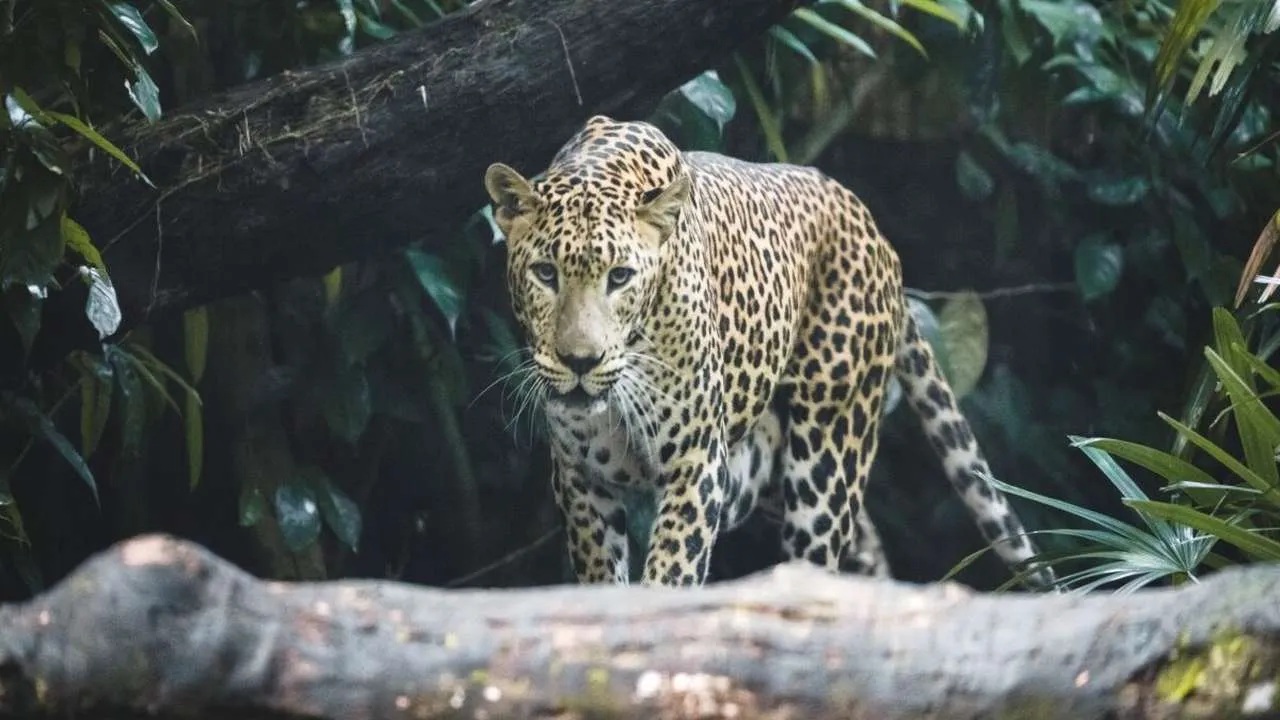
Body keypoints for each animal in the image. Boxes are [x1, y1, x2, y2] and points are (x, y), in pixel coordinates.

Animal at [483, 114, 1056, 590]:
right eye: (545, 274)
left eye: (620, 277)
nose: (581, 362)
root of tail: (873, 229)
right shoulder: (580, 478)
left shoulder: (696, 463)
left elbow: (671, 573)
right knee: (867, 549)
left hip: (826, 461)